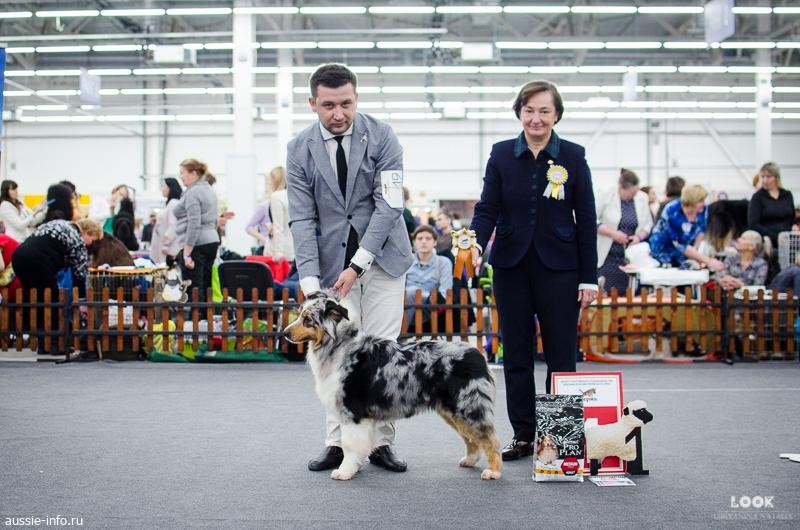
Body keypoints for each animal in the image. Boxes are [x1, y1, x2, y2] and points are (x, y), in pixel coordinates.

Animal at [283, 291, 502, 481]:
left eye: (308, 319)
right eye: (301, 315)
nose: (284, 333)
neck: (338, 346)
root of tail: (478, 354)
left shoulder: (353, 412)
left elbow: (350, 445)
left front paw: (345, 471)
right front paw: (354, 467)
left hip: (469, 405)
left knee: (490, 438)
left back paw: (493, 471)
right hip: (453, 410)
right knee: (472, 438)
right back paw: (470, 460)